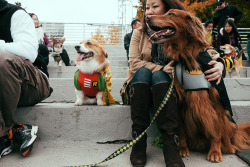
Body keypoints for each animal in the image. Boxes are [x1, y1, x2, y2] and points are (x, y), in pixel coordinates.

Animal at [146, 9, 250, 163]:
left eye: (171, 14)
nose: (147, 17)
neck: (186, 55)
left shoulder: (215, 102)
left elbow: (216, 130)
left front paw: (215, 152)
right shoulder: (179, 102)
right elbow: (181, 130)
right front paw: (182, 149)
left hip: (229, 123)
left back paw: (228, 147)